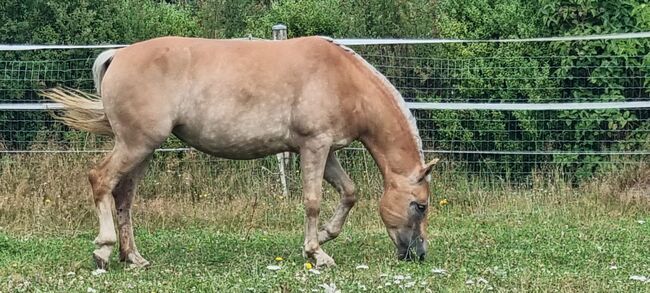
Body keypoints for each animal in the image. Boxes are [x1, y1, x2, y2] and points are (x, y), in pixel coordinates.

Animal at [39, 36, 436, 270]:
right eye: (420, 205)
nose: (418, 254)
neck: (343, 79)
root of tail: (118, 55)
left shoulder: (326, 151)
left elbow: (349, 193)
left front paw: (324, 237)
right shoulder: (315, 146)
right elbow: (312, 201)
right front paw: (316, 252)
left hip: (142, 150)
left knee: (124, 198)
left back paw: (133, 257)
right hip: (135, 145)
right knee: (101, 180)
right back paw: (104, 250)